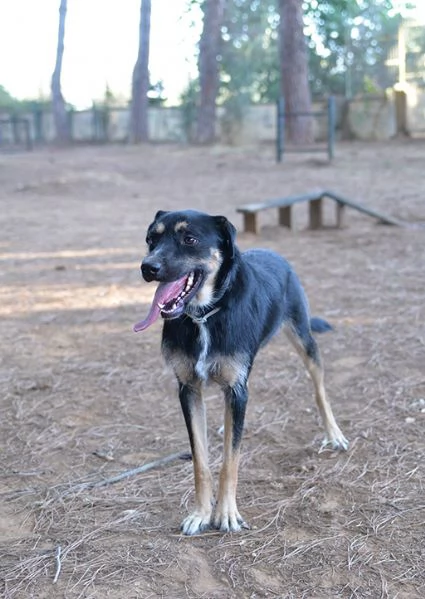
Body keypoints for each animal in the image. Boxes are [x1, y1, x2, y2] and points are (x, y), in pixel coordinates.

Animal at [133, 210, 348, 536]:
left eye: (189, 239)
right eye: (151, 239)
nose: (148, 267)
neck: (205, 315)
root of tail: (275, 253)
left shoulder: (236, 388)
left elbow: (230, 462)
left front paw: (226, 513)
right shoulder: (189, 389)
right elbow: (201, 461)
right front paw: (200, 513)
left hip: (304, 339)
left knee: (319, 389)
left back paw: (333, 433)